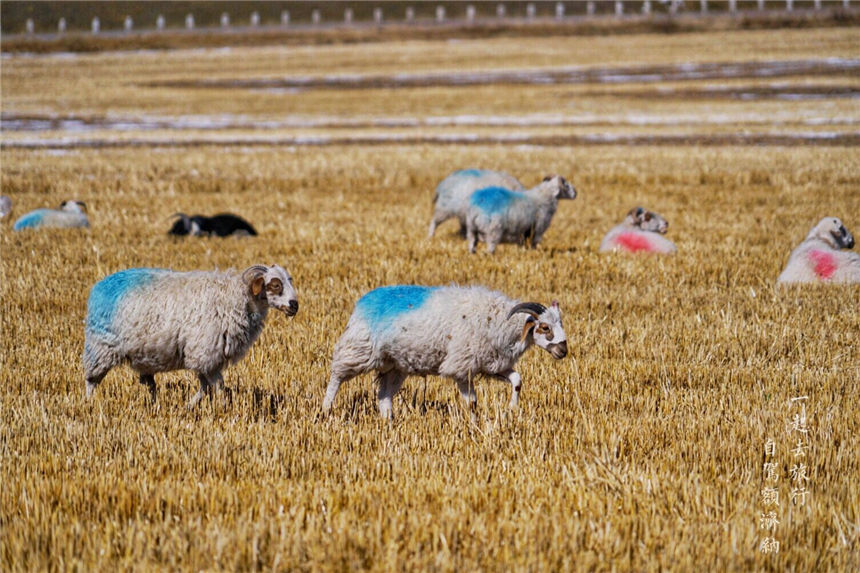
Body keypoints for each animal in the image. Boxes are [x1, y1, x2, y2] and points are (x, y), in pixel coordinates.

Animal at [84, 262, 298, 404]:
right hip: (101, 347)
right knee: (91, 381)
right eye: (275, 285)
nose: (294, 305)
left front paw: (190, 405)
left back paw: (154, 404)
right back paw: (89, 404)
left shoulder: (209, 358)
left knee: (150, 384)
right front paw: (222, 407)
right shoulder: (205, 353)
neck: (237, 298)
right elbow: (217, 386)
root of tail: (102, 285)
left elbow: (206, 387)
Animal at [320, 284, 568, 418]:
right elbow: (472, 402)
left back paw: (389, 420)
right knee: (337, 376)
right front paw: (474, 424)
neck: (500, 321)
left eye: (560, 324)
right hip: (358, 348)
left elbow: (517, 380)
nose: (563, 351)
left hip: (395, 364)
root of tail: (365, 300)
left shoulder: (490, 363)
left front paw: (512, 407)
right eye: (544, 327)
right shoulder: (462, 365)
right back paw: (325, 409)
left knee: (384, 395)